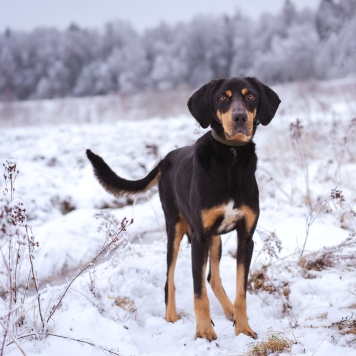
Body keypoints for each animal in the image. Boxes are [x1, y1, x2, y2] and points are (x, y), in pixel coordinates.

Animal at [86, 76, 280, 340]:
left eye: (250, 96)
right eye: (223, 97)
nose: (240, 117)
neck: (231, 157)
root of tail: (163, 160)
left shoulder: (245, 237)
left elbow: (240, 291)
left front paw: (242, 328)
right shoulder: (199, 238)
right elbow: (199, 294)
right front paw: (204, 331)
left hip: (214, 239)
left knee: (212, 277)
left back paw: (229, 311)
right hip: (175, 228)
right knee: (170, 277)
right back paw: (171, 315)